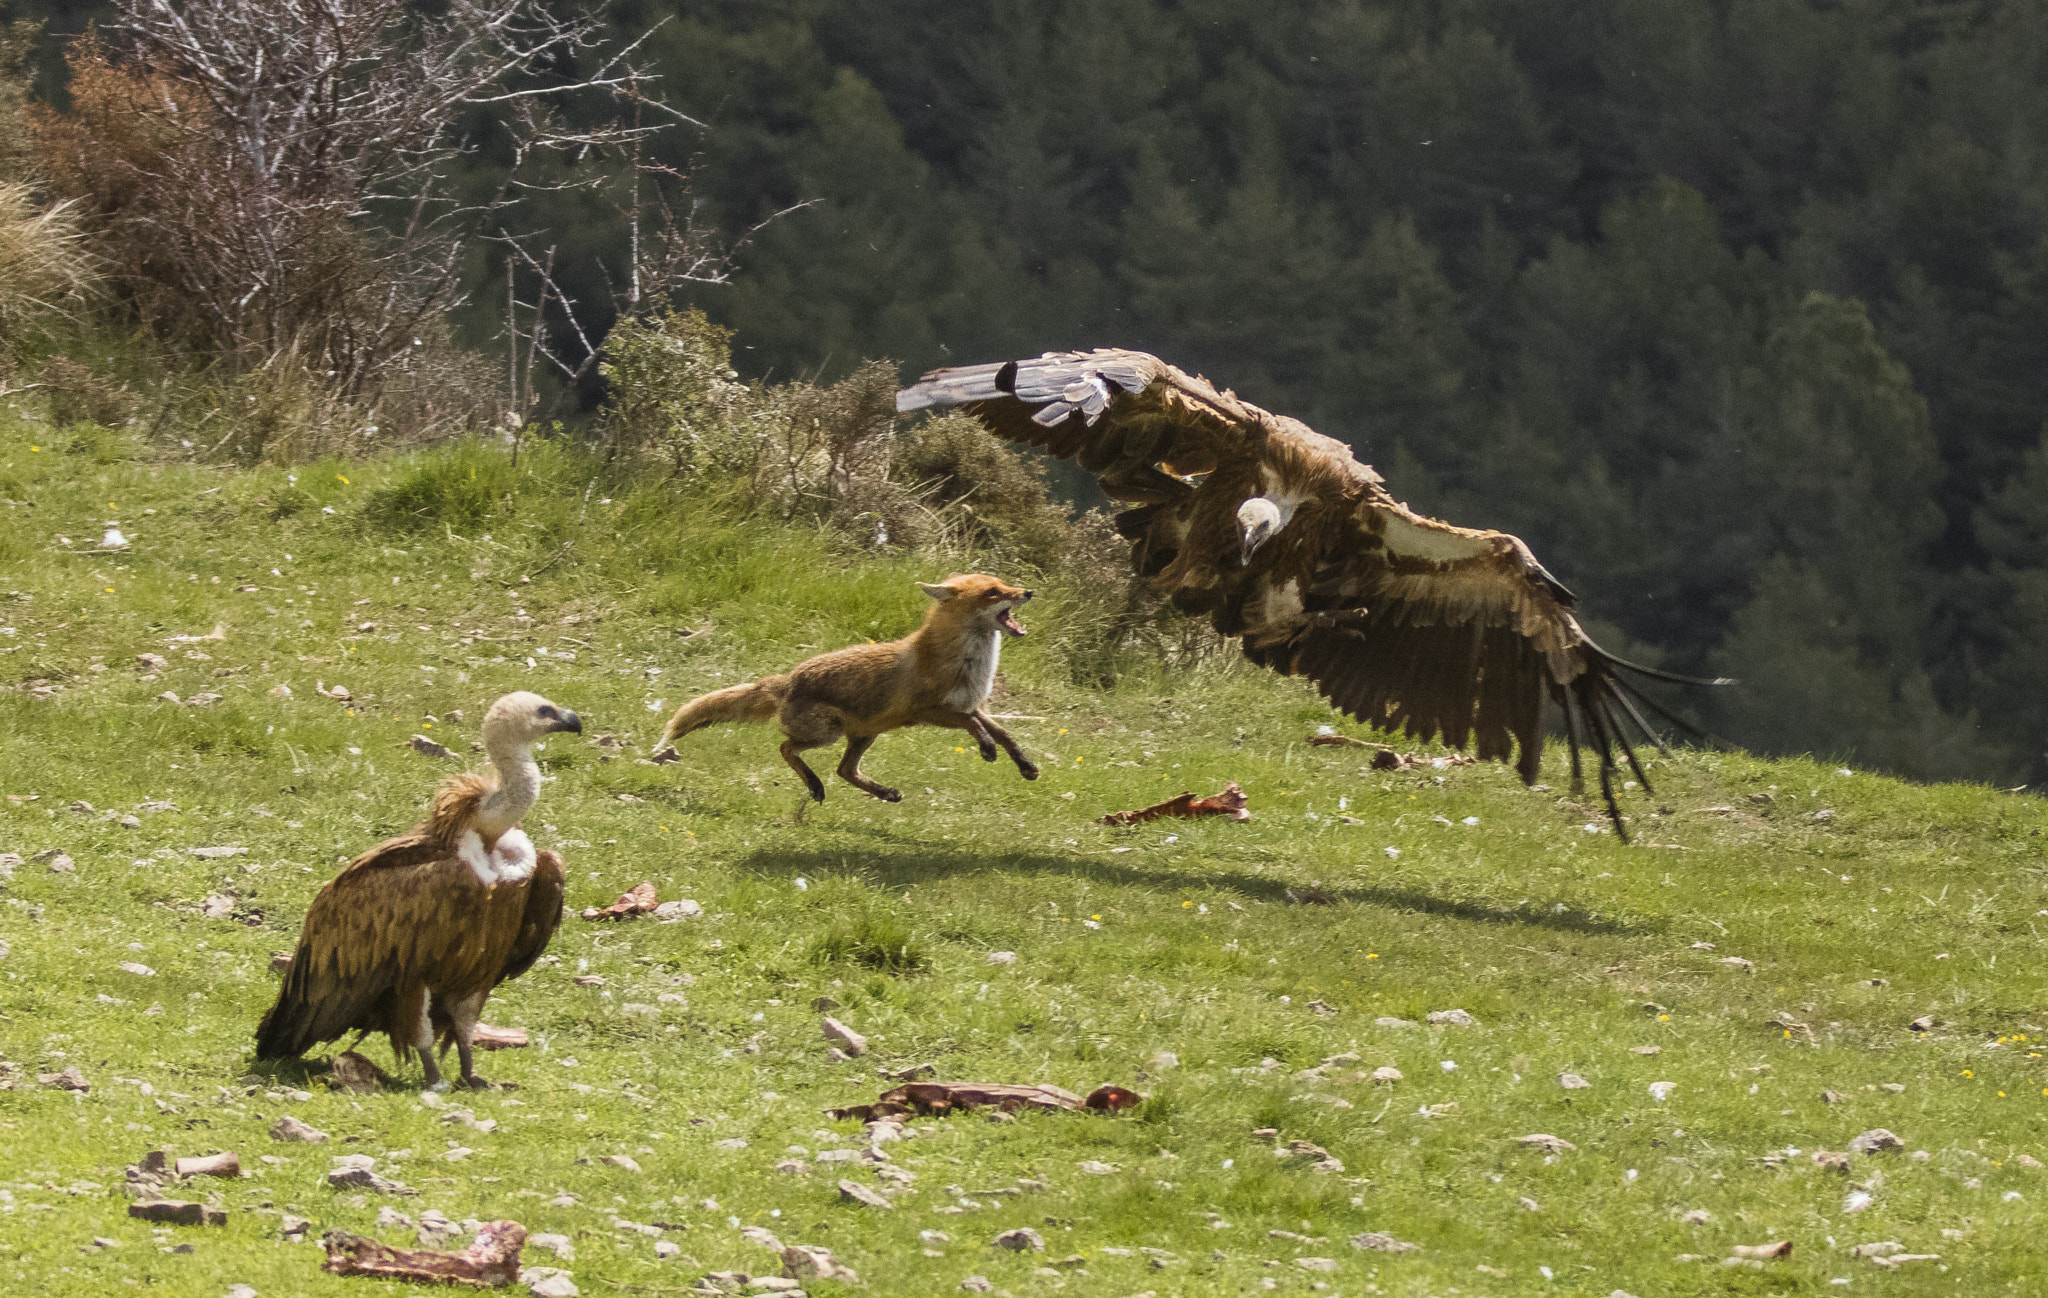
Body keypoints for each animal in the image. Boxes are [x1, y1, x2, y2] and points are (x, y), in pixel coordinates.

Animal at [655, 569, 1040, 794]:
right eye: (993, 592)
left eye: (1005, 584)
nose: (1029, 592)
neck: (968, 664)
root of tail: (789, 679)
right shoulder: (929, 711)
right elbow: (976, 728)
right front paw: (987, 748)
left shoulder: (970, 704)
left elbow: (1004, 733)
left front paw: (1024, 765)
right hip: (829, 732)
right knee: (786, 748)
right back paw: (814, 786)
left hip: (865, 735)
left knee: (844, 770)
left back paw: (883, 792)